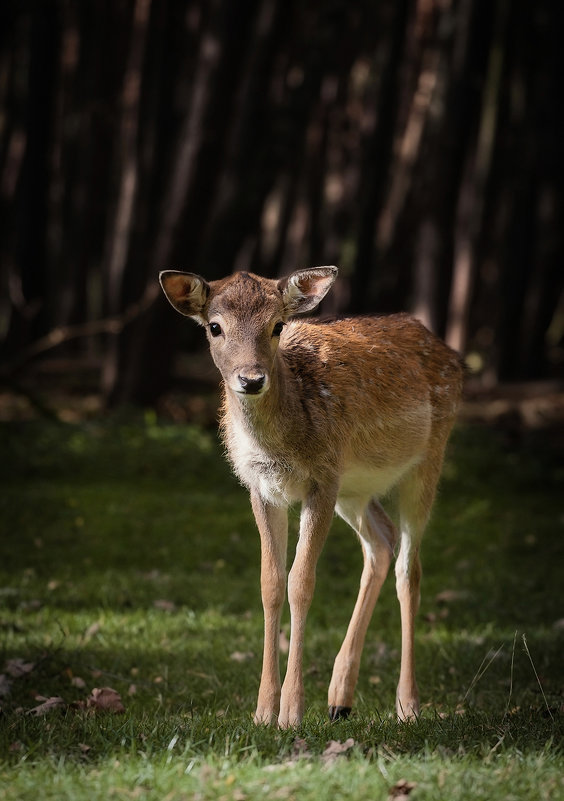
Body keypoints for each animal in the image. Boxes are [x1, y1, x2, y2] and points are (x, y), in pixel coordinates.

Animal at [159, 266, 462, 728]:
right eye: (214, 327)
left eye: (277, 326)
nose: (251, 379)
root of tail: (453, 355)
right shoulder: (262, 488)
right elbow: (270, 582)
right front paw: (262, 711)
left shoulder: (321, 480)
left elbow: (301, 582)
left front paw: (291, 712)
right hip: (353, 488)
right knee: (381, 542)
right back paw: (340, 699)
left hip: (428, 457)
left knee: (410, 568)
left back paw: (407, 705)